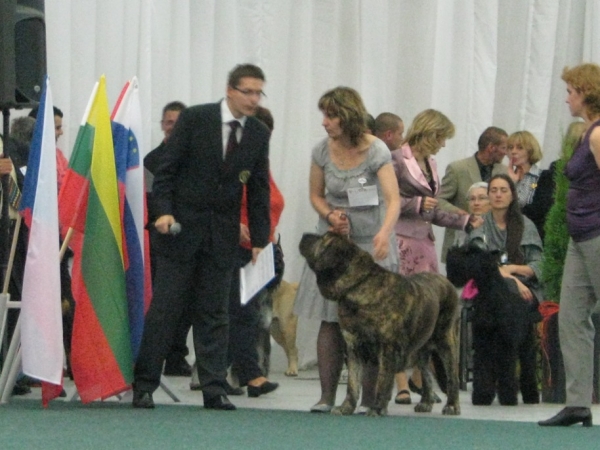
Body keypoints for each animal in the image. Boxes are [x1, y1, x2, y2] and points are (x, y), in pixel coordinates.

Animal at [298, 232, 460, 418]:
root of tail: (446, 281)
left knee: (452, 377)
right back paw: (425, 403)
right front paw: (346, 407)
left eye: (322, 239)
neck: (359, 285)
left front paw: (376, 408)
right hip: (421, 349)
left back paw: (452, 406)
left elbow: (382, 381)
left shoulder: (387, 349)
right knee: (426, 373)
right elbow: (353, 383)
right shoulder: (353, 348)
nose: (304, 235)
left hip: (446, 341)